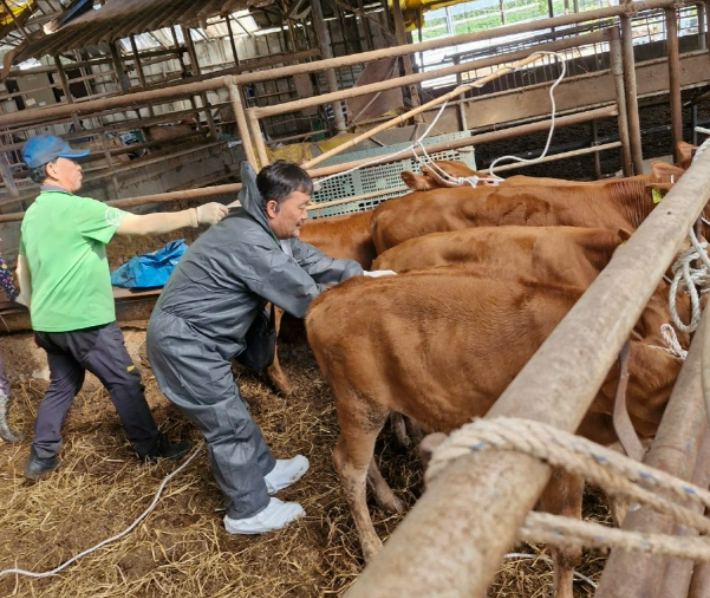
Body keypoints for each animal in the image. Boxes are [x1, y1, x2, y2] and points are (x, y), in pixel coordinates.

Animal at [306, 270, 684, 598]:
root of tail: (329, 296)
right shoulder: (558, 464)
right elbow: (568, 547)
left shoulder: (606, 447)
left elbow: (621, 504)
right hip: (361, 403)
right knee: (348, 467)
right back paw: (372, 546)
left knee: (357, 458)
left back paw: (388, 499)